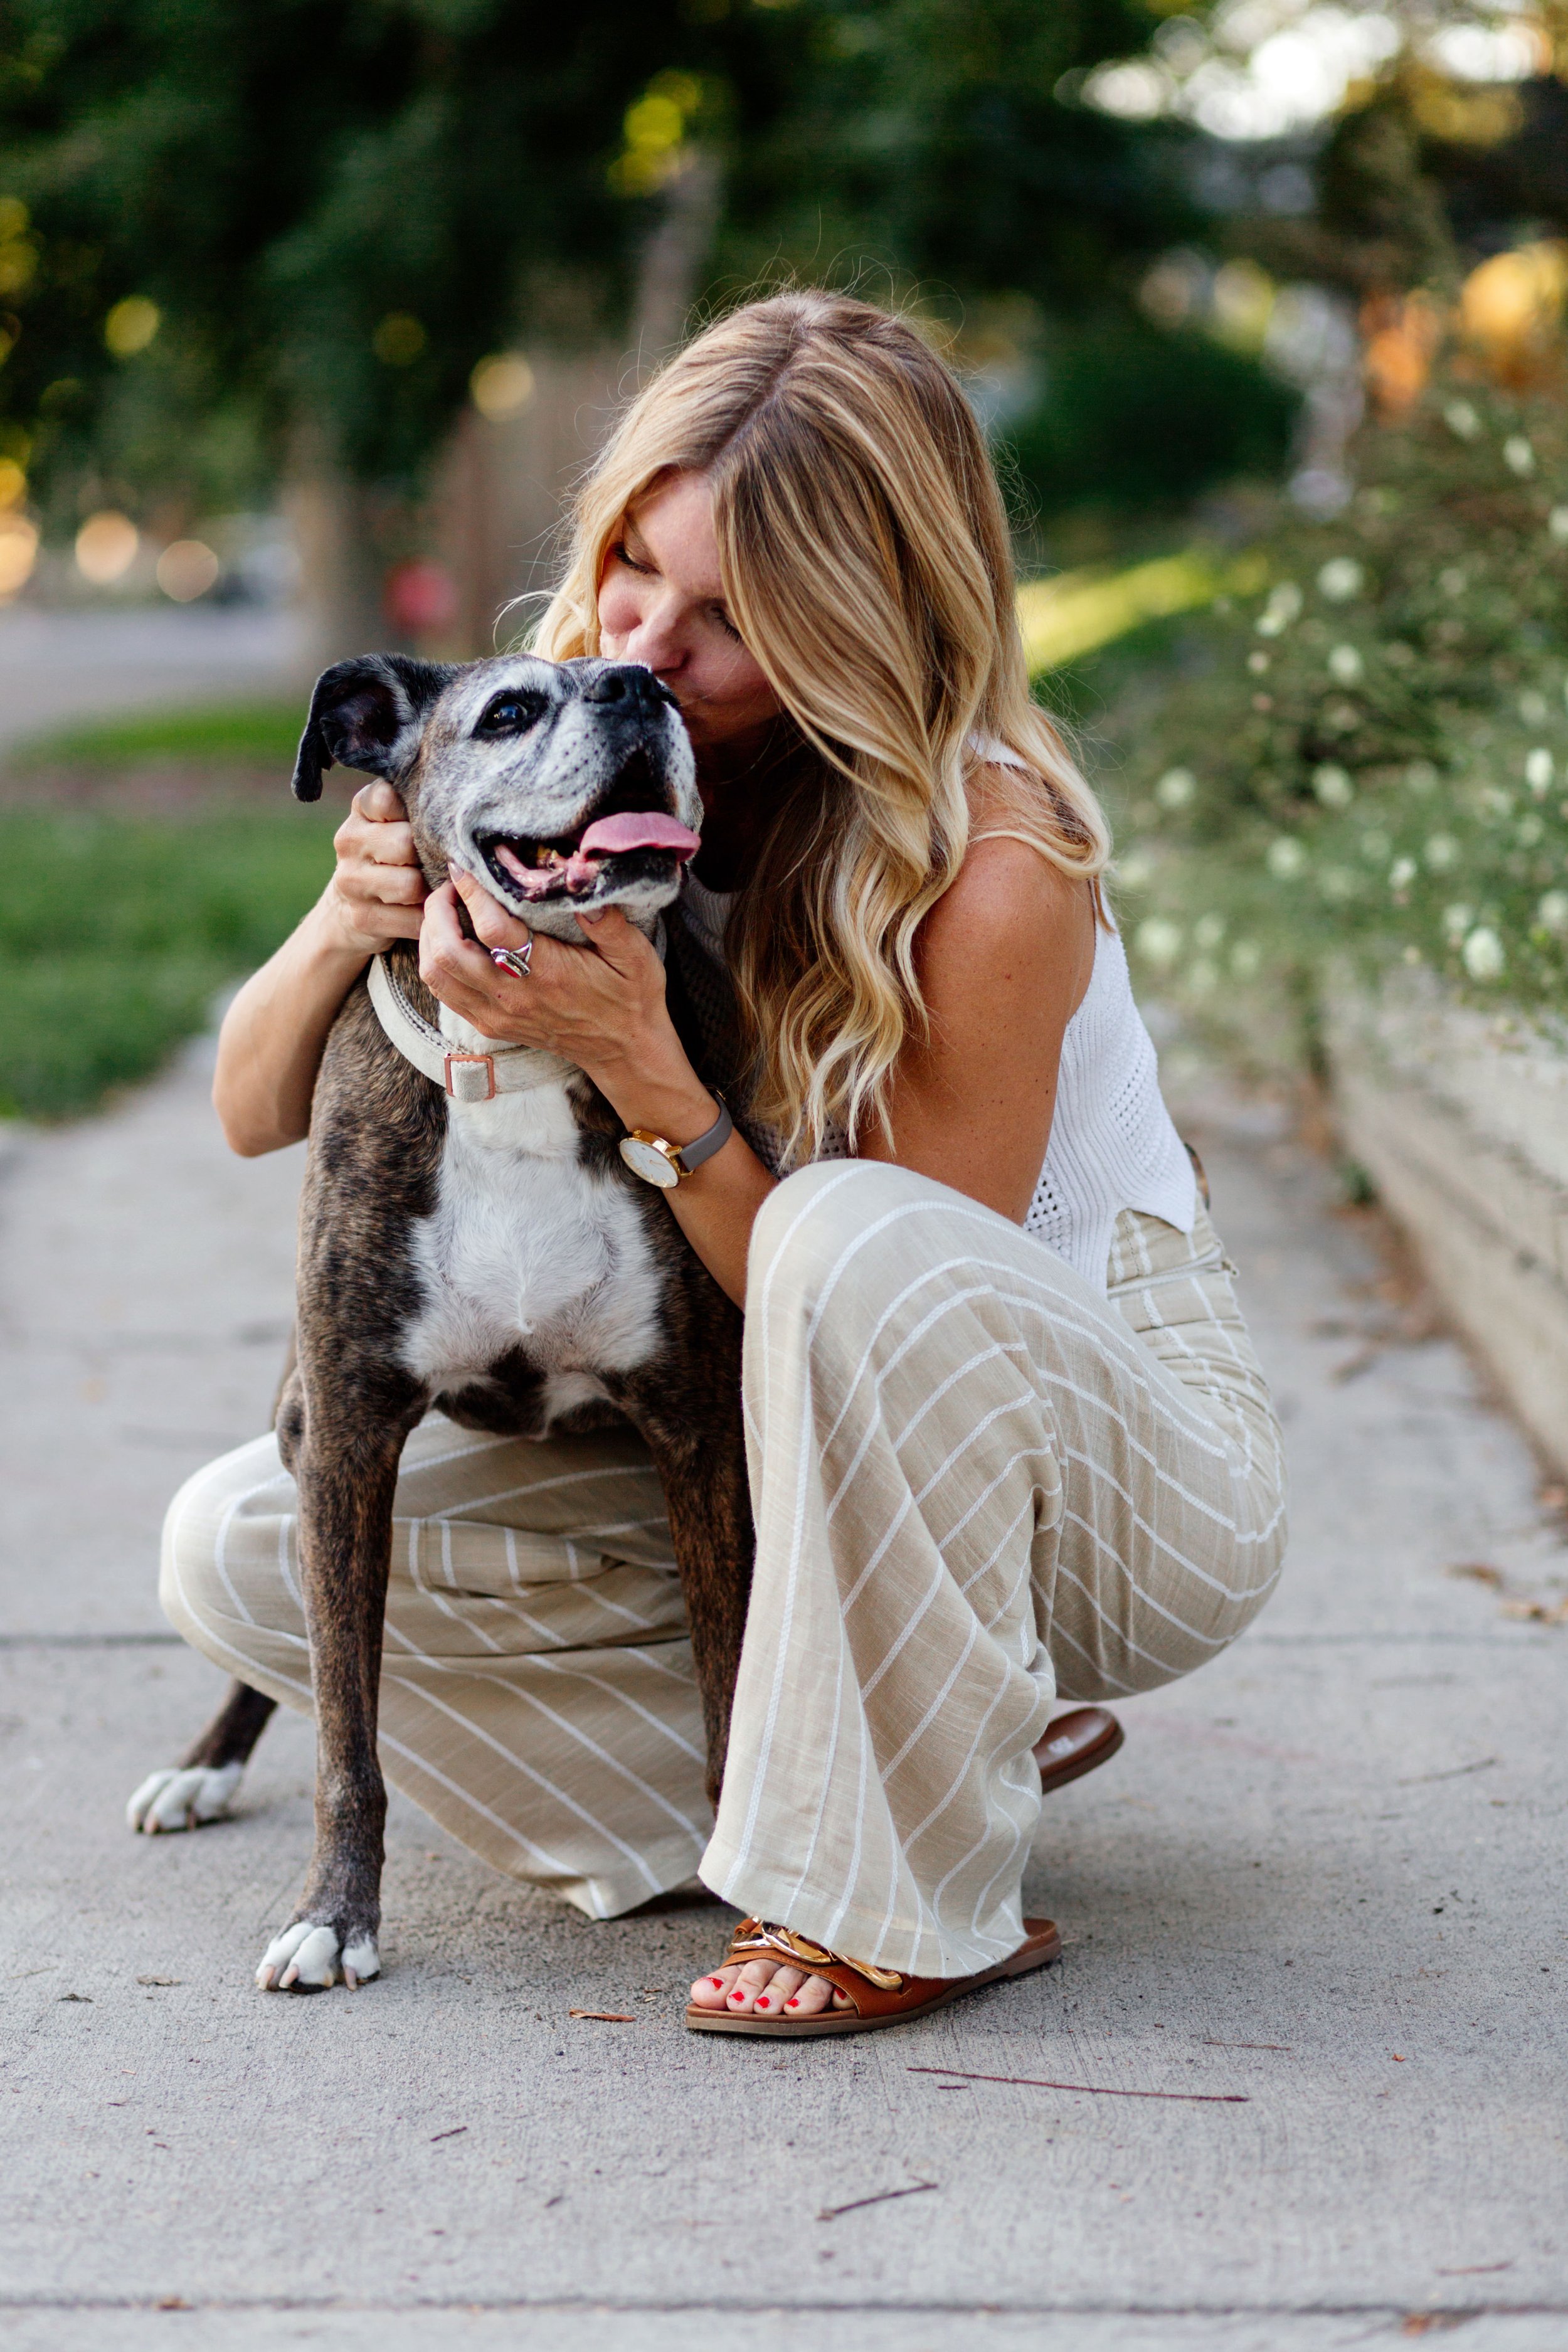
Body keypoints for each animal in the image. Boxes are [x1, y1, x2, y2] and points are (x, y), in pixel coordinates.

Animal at [129, 654, 752, 1994]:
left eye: (667, 688)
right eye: (511, 710)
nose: (638, 687)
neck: (517, 1064)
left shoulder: (700, 1434)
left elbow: (733, 1684)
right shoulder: (350, 1438)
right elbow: (344, 1735)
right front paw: (333, 1915)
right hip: (294, 1423)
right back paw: (205, 1765)